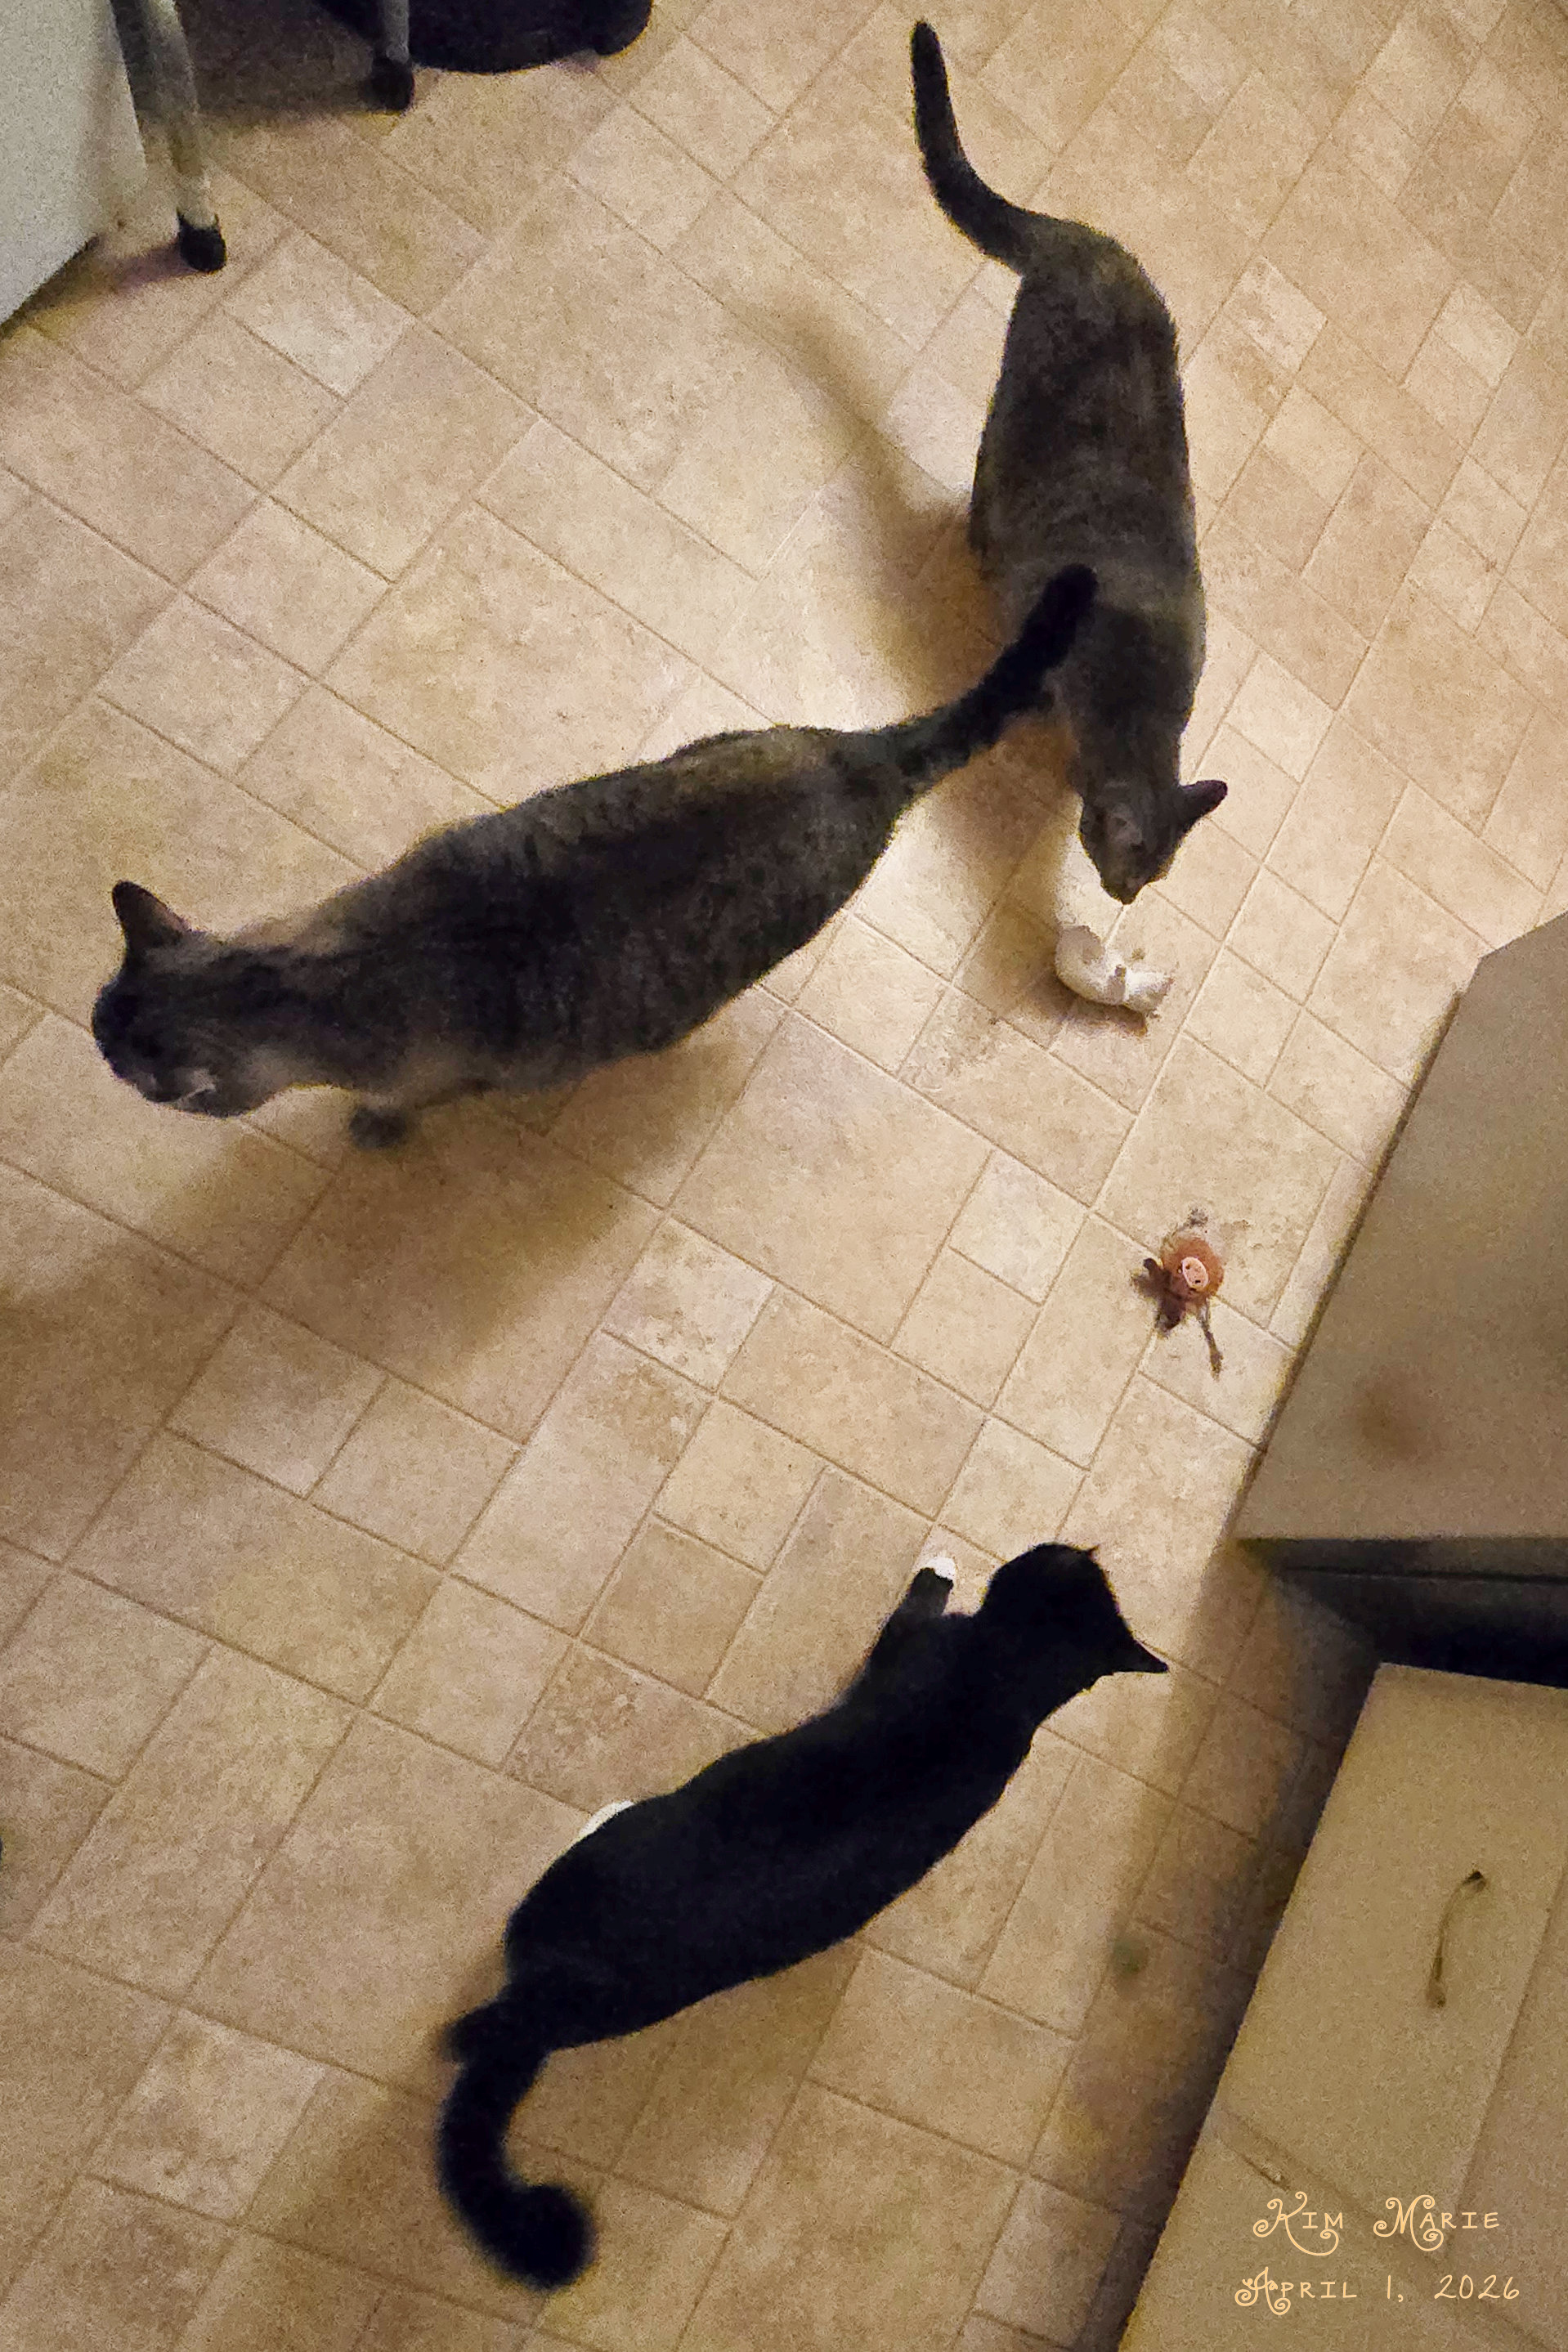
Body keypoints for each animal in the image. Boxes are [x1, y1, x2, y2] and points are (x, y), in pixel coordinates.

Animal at [93, 566, 1093, 1149]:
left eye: (118, 1061)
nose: (97, 1053)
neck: (305, 980)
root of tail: (861, 763)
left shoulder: (433, 1077)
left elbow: (400, 1105)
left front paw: (373, 1128)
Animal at [435, 1542, 1166, 2289]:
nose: (1057, 1545)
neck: (1008, 1679)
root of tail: (548, 1997)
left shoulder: (911, 1642)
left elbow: (913, 1606)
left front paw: (940, 1567)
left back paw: (600, 1813)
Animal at [910, 22, 1226, 903]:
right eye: (1129, 872)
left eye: (1153, 879)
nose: (1123, 900)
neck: (1138, 702)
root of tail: (1086, 240)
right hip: (1014, 395)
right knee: (988, 469)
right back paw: (978, 536)